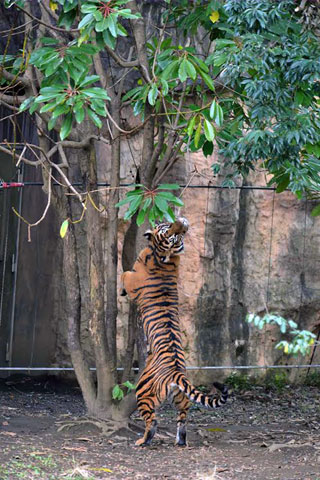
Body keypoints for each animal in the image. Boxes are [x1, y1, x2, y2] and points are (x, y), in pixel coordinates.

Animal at [120, 217, 228, 446]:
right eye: (172, 230)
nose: (181, 222)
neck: (165, 258)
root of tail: (177, 372)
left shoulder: (133, 280)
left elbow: (125, 274)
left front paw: (121, 288)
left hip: (143, 390)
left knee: (152, 421)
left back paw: (143, 441)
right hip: (181, 397)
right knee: (183, 417)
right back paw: (181, 441)